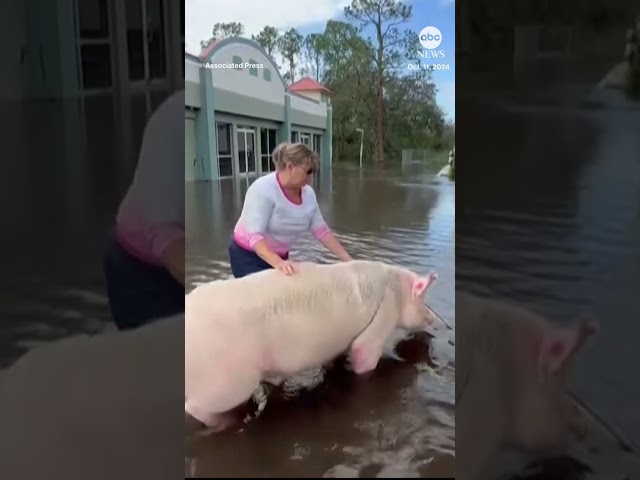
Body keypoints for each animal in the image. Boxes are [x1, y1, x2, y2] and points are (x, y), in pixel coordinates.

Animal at [182, 260, 438, 434]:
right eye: (422, 298)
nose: (435, 319)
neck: (397, 289)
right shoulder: (381, 321)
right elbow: (363, 352)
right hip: (227, 382)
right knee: (195, 407)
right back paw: (229, 422)